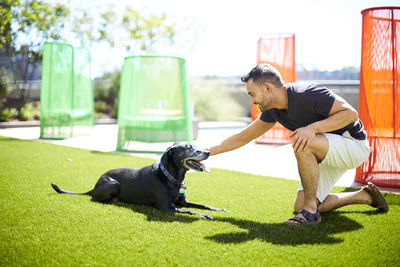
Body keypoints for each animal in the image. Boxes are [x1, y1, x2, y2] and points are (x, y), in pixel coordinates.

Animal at [52, 142, 228, 220]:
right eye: (189, 148)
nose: (208, 152)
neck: (172, 177)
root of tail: (95, 185)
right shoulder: (166, 208)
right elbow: (191, 211)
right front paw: (204, 216)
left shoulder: (182, 202)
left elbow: (202, 205)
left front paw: (217, 209)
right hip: (113, 184)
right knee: (94, 198)